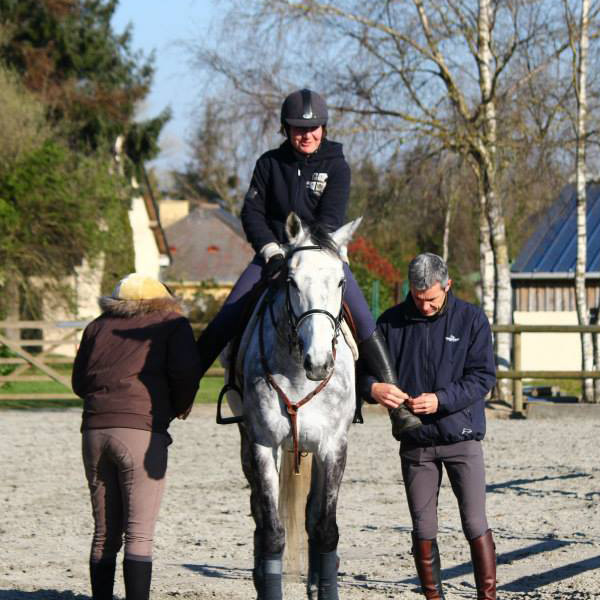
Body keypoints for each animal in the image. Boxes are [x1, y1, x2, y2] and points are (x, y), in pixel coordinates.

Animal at [229, 213, 360, 596]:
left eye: (341, 281)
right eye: (291, 280)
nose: (319, 362)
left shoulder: (333, 447)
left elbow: (325, 528)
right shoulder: (263, 445)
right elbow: (272, 532)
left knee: (312, 516)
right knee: (261, 517)